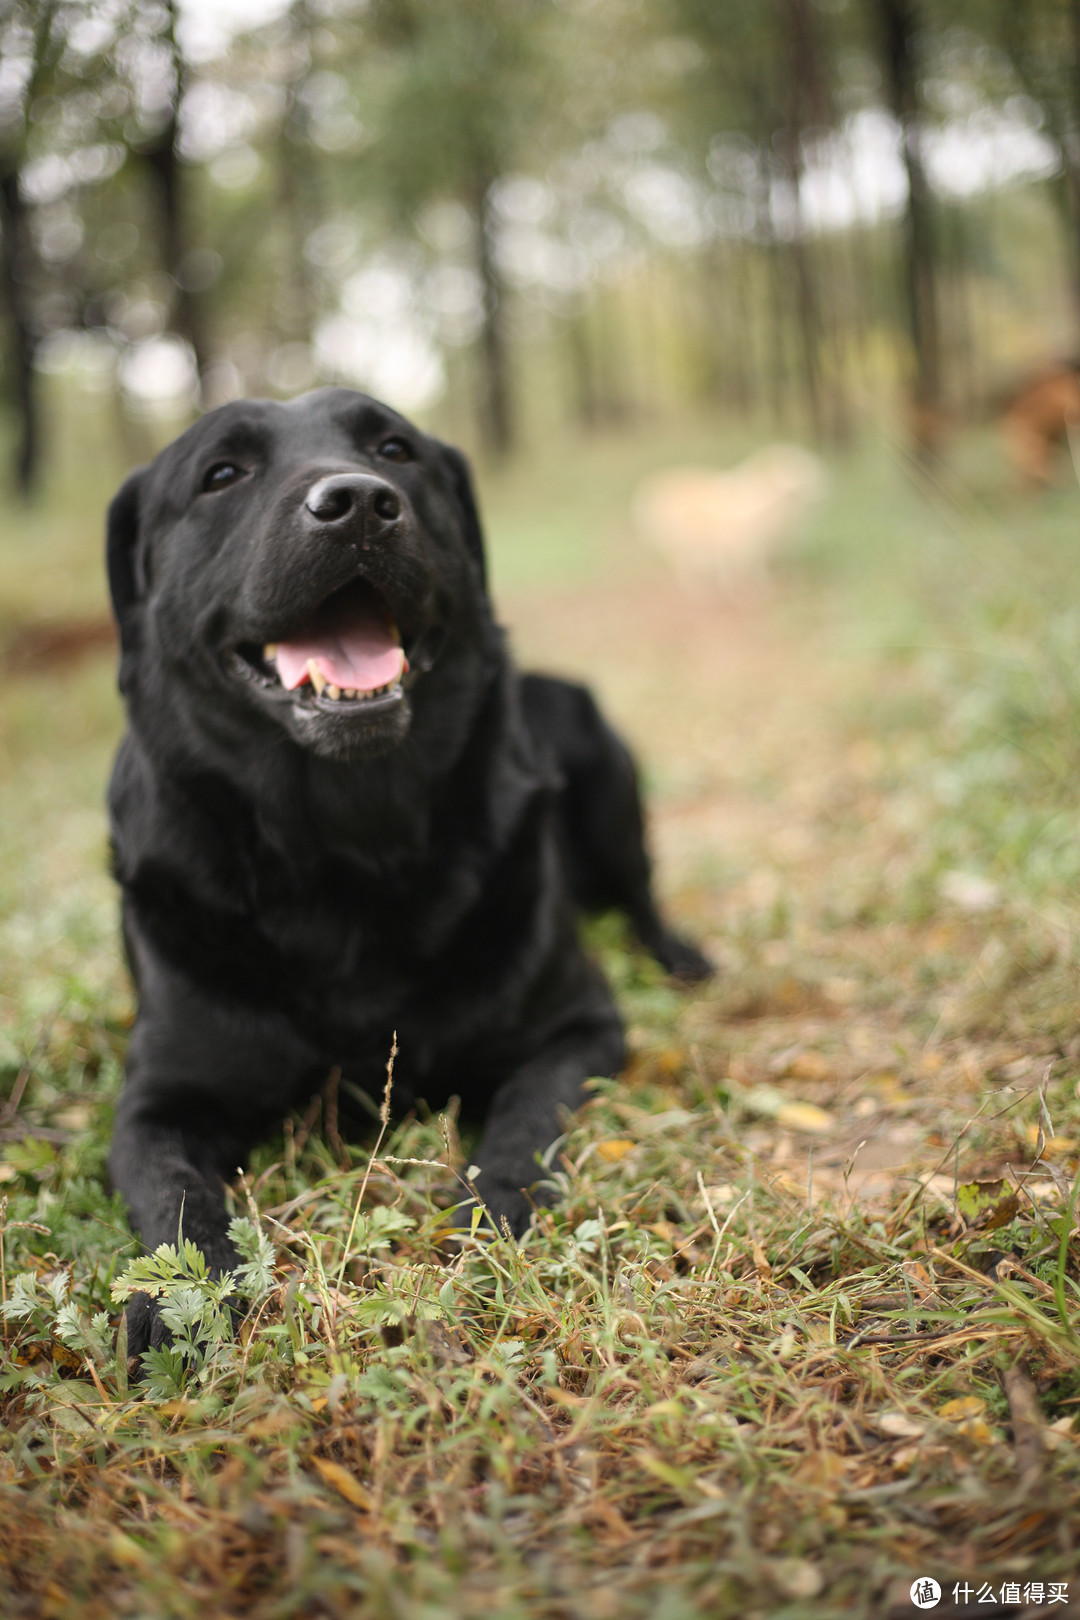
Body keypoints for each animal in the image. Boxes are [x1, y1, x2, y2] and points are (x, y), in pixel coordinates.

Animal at [103, 385, 709, 1347]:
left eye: (394, 449)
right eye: (222, 473)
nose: (358, 503)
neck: (347, 845)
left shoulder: (576, 1029)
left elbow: (521, 1127)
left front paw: (490, 1221)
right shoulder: (158, 1103)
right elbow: (175, 1197)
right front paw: (175, 1305)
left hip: (604, 772)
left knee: (642, 892)